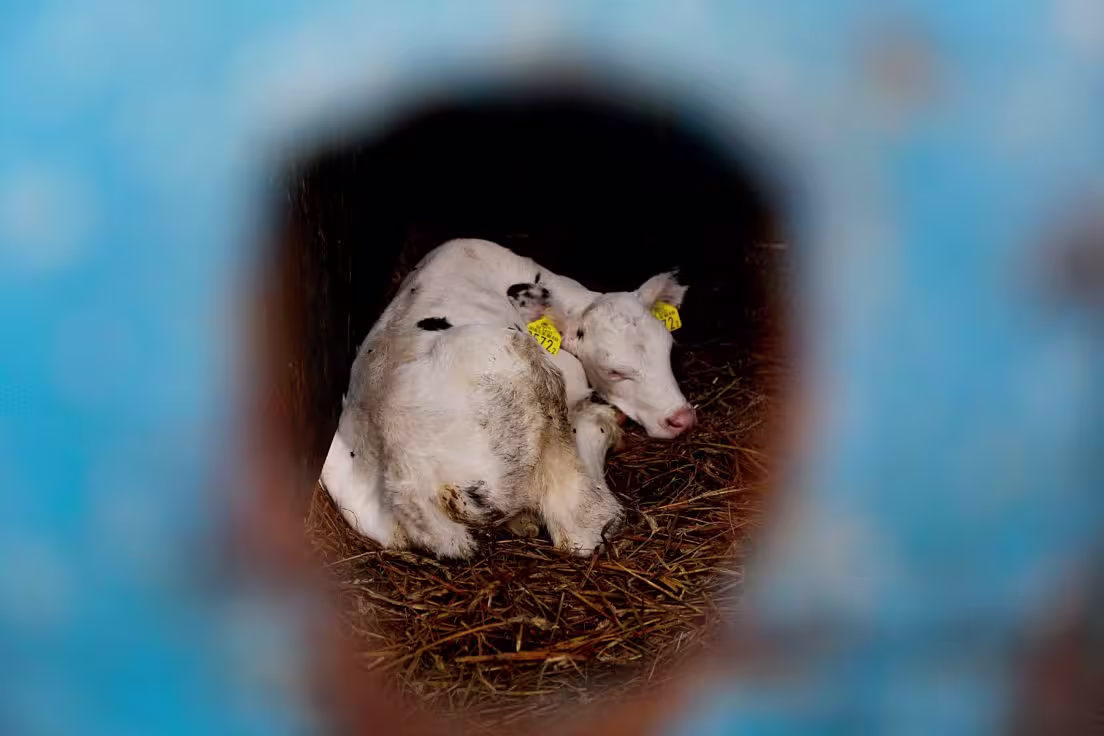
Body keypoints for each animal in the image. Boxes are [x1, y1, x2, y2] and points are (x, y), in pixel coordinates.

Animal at [321, 238, 693, 559]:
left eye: (668, 349)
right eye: (614, 371)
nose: (682, 418)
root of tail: (403, 473)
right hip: (517, 362)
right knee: (579, 525)